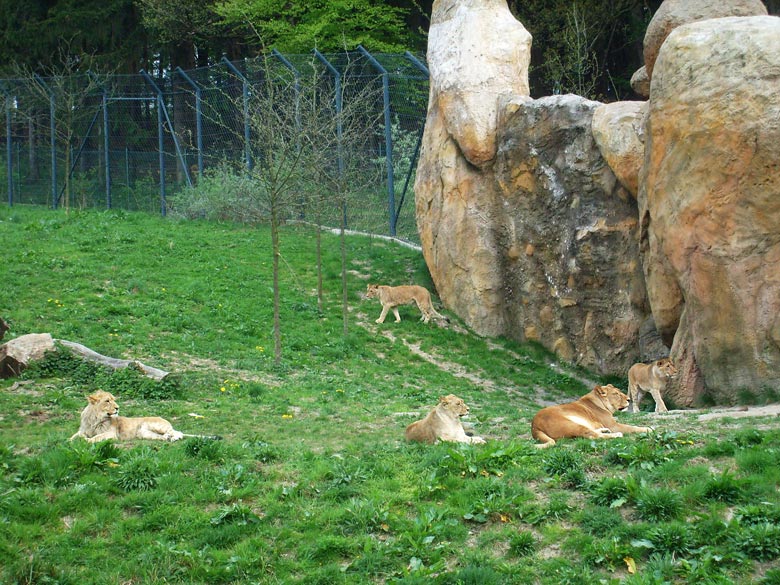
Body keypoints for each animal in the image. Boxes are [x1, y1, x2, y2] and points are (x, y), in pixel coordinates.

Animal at [69, 390, 213, 440]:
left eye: (113, 399)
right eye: (107, 401)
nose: (117, 408)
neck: (95, 418)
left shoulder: (111, 434)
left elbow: (95, 438)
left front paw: (86, 441)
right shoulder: (82, 430)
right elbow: (73, 437)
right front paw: (69, 442)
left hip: (154, 425)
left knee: (178, 432)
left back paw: (174, 438)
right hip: (144, 434)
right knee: (165, 435)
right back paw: (167, 438)